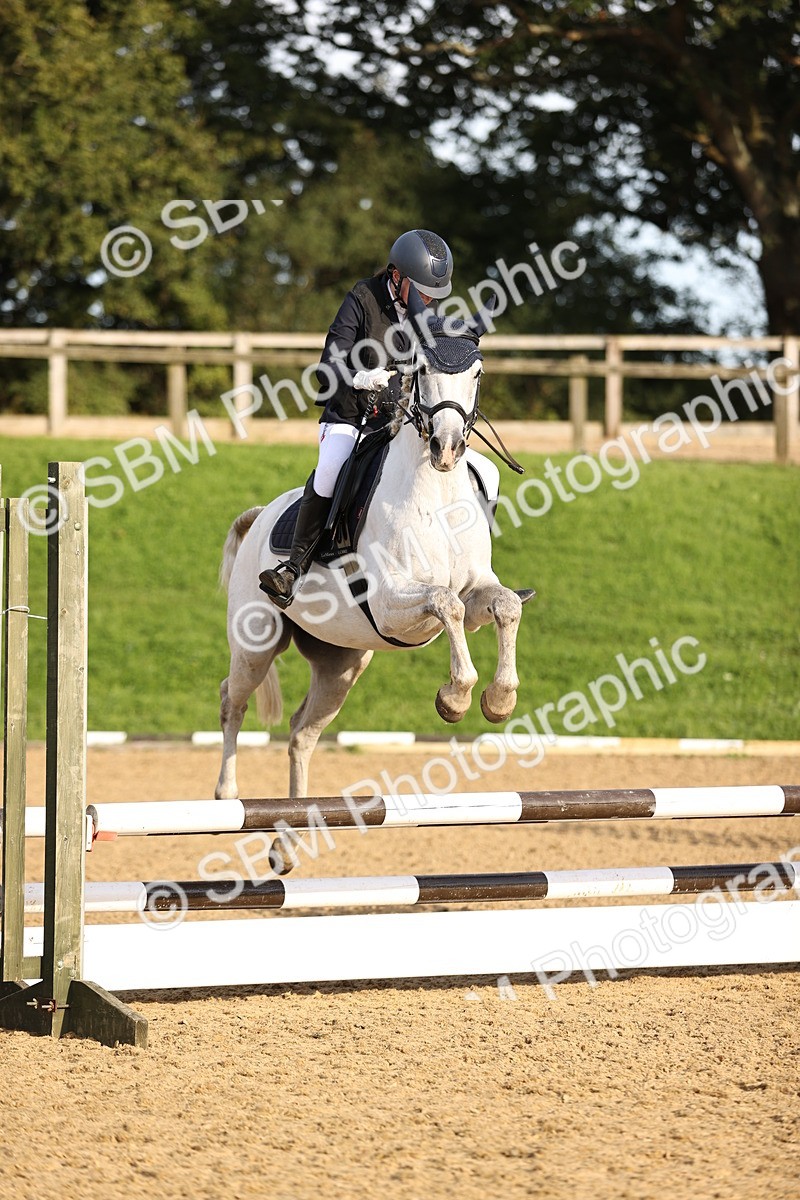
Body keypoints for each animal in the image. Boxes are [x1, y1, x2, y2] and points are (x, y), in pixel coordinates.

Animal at [215, 289, 534, 866]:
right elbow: (446, 604)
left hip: (340, 664)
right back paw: (227, 798)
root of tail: (260, 516)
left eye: (476, 372)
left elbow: (501, 605)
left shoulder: (477, 589)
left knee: (301, 734)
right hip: (256, 642)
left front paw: (498, 700)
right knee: (234, 699)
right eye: (422, 370)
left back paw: (288, 841)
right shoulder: (393, 604)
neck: (435, 492)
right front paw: (455, 697)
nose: (447, 448)